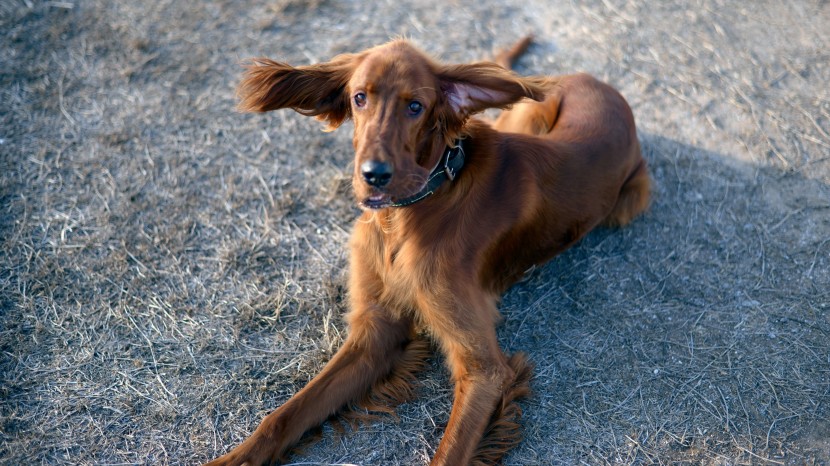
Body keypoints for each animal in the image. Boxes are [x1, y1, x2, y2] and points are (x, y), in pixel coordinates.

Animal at [206, 37, 648, 466]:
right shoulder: (375, 331)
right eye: (359, 97)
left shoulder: (485, 371)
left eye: (415, 106)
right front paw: (231, 459)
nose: (374, 176)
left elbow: (449, 452)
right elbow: (285, 416)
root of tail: (596, 81)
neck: (413, 210)